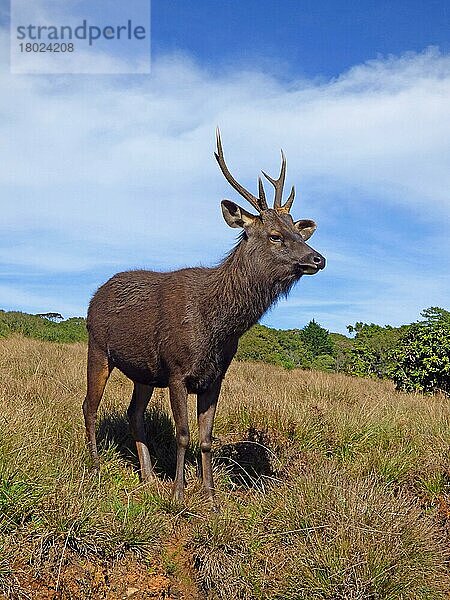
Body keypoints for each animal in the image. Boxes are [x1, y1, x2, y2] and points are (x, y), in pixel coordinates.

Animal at [83, 130, 324, 502]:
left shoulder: (215, 376)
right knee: (89, 407)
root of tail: (95, 296)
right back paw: (95, 469)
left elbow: (206, 437)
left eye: (299, 233)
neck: (218, 328)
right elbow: (183, 433)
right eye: (275, 235)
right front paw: (179, 494)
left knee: (133, 414)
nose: (318, 259)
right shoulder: (176, 370)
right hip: (97, 347)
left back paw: (148, 477)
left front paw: (210, 494)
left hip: (143, 373)